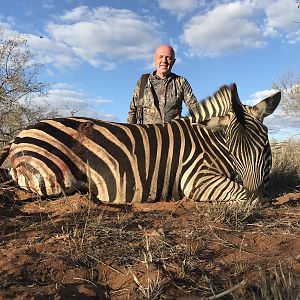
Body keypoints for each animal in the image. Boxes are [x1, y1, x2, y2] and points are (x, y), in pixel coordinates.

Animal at [0, 83, 280, 203]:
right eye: (232, 150)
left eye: (264, 147)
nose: (257, 191)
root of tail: (18, 136)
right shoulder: (197, 178)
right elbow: (244, 195)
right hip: (52, 177)